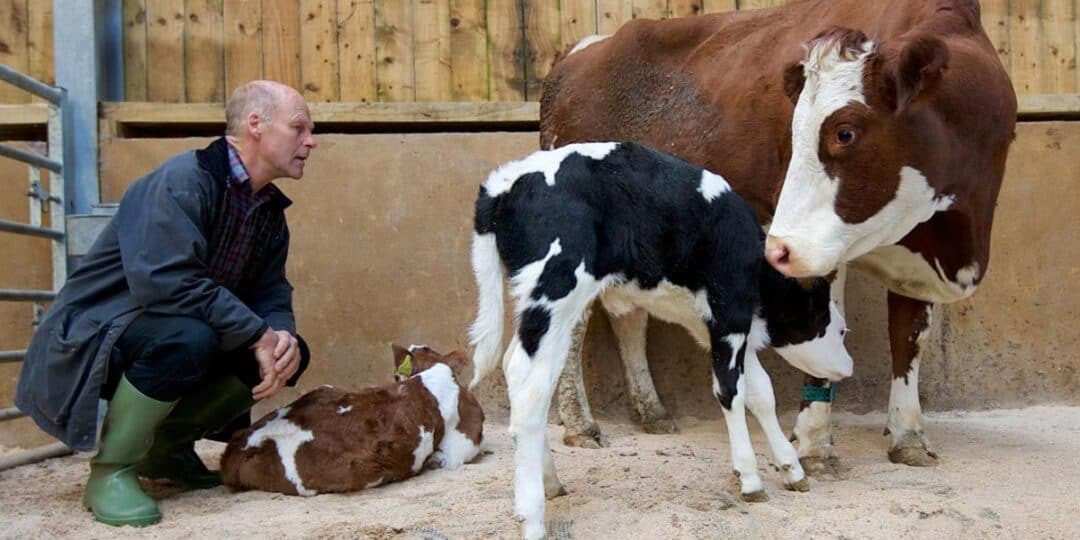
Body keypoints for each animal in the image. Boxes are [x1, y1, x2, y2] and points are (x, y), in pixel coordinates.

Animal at [468, 142, 853, 539]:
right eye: (839, 329)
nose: (848, 367)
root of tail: (504, 182)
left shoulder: (713, 324)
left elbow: (761, 391)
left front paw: (791, 468)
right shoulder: (730, 312)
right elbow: (731, 391)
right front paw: (750, 477)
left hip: (540, 307)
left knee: (517, 369)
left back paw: (550, 481)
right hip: (556, 290)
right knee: (530, 384)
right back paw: (532, 515)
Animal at [539, 0, 1017, 468]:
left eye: (845, 132)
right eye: (794, 132)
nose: (775, 250)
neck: (953, 239)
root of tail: (579, 51)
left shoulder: (915, 252)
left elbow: (908, 338)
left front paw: (908, 435)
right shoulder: (815, 248)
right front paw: (814, 444)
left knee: (629, 315)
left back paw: (650, 410)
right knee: (575, 322)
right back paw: (580, 423)